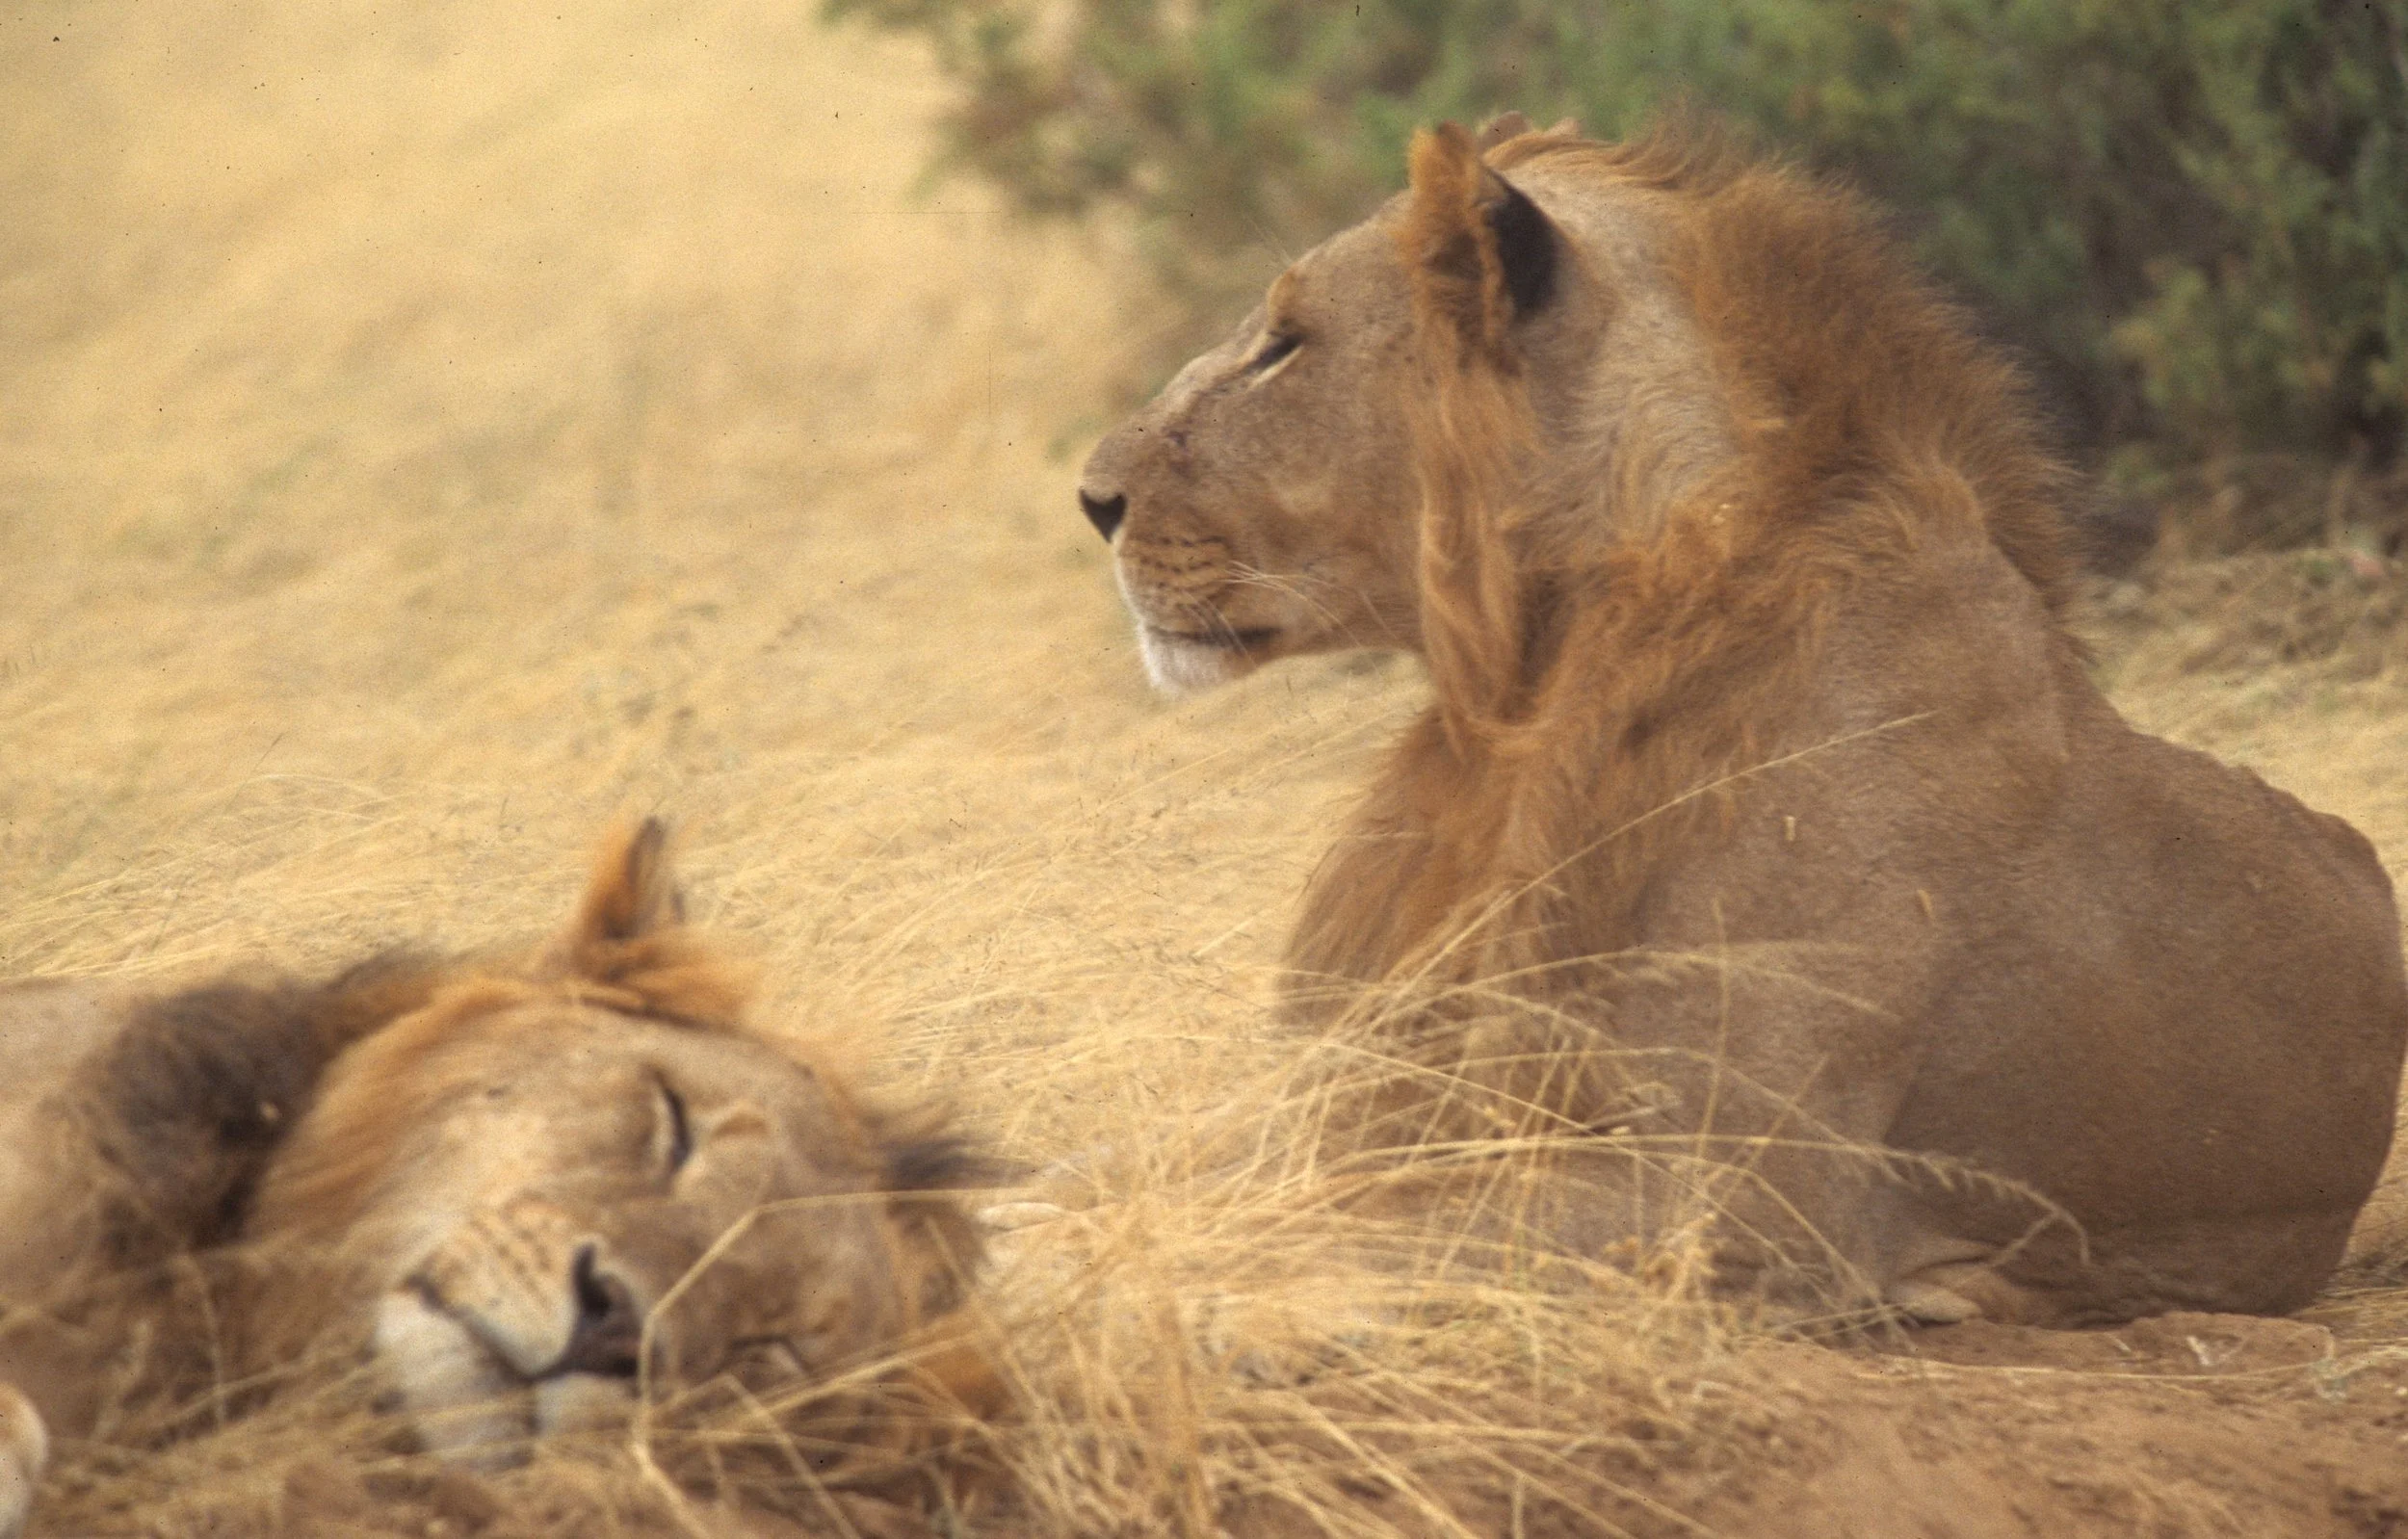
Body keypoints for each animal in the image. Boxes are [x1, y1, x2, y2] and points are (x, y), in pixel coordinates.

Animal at [1075, 114, 2408, 1327]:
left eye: (1282, 346)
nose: (1091, 498)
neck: (1530, 689)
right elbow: (1128, 1161)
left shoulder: (1745, 1198)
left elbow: (1338, 1224)